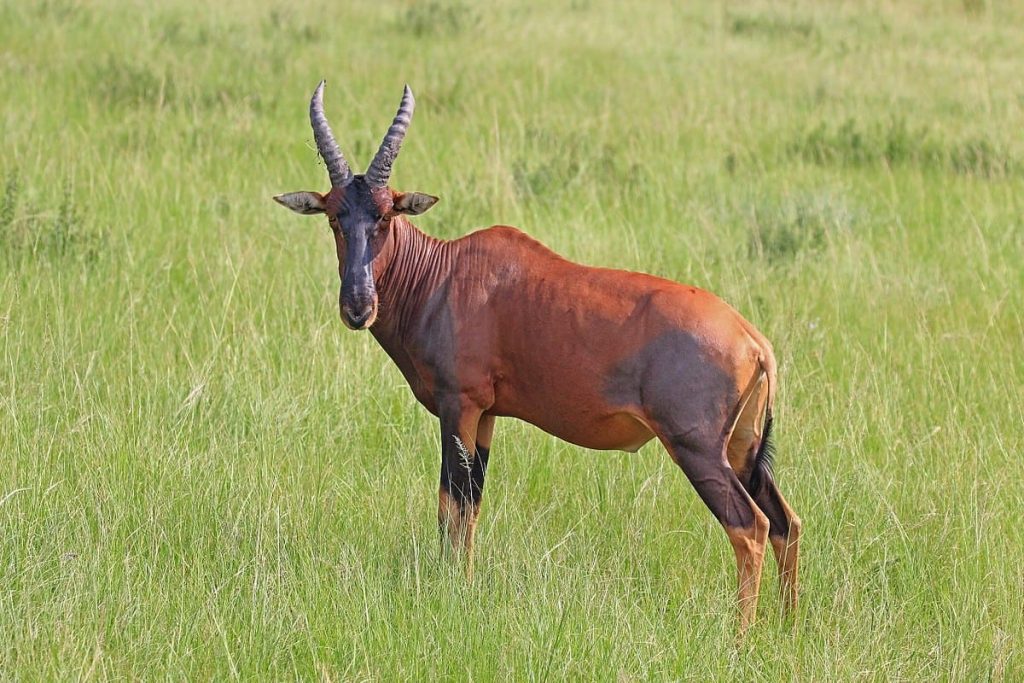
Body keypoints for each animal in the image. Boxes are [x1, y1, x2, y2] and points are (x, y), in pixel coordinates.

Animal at [273, 81, 801, 629]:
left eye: (384, 214)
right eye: (335, 216)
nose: (358, 306)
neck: (446, 273)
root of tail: (753, 340)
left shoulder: (459, 406)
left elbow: (449, 502)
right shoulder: (486, 415)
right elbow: (471, 504)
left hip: (696, 448)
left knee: (750, 526)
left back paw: (740, 635)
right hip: (742, 450)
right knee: (786, 521)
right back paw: (788, 625)